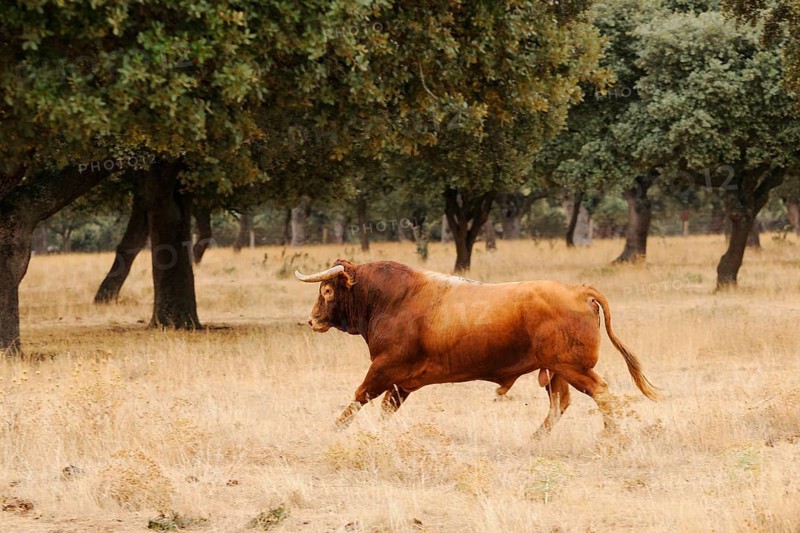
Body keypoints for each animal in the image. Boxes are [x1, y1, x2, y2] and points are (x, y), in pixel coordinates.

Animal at [296, 259, 657, 436]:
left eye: (327, 290)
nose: (312, 320)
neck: (392, 298)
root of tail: (578, 290)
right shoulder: (402, 382)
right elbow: (385, 408)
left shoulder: (385, 368)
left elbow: (359, 396)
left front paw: (334, 429)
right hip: (557, 371)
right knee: (560, 403)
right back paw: (536, 438)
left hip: (574, 368)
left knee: (601, 393)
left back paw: (610, 435)